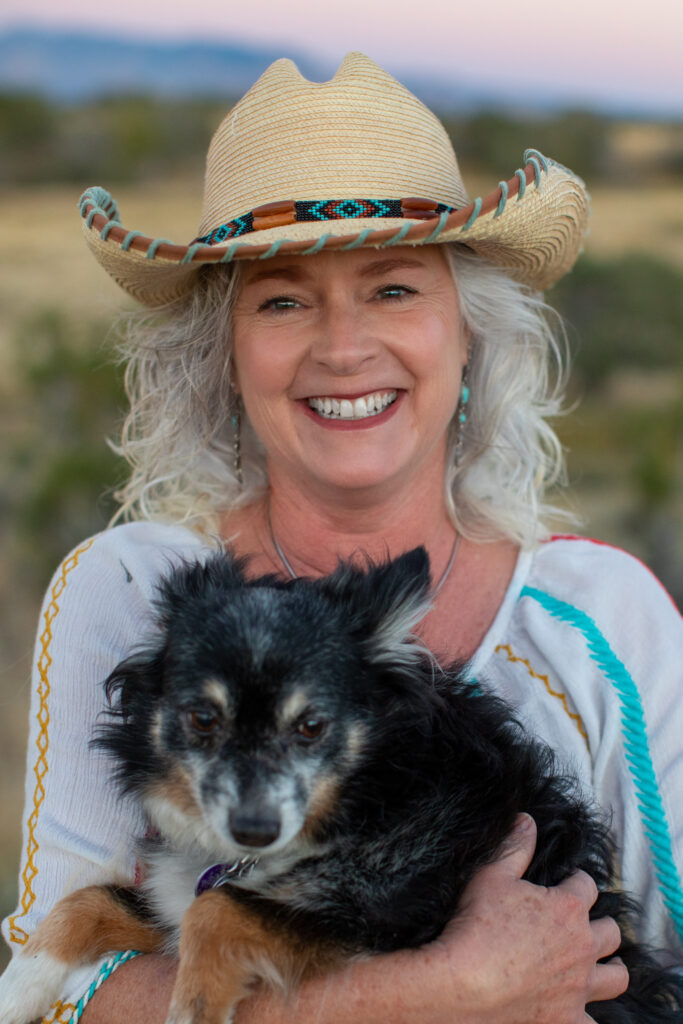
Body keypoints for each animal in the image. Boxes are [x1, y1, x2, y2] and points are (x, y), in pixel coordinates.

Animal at [1, 548, 680, 1024]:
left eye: (311, 725)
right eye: (203, 718)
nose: (255, 829)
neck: (371, 793)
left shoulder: (383, 914)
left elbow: (216, 911)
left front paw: (193, 1009)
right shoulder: (176, 895)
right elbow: (92, 900)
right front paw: (19, 987)